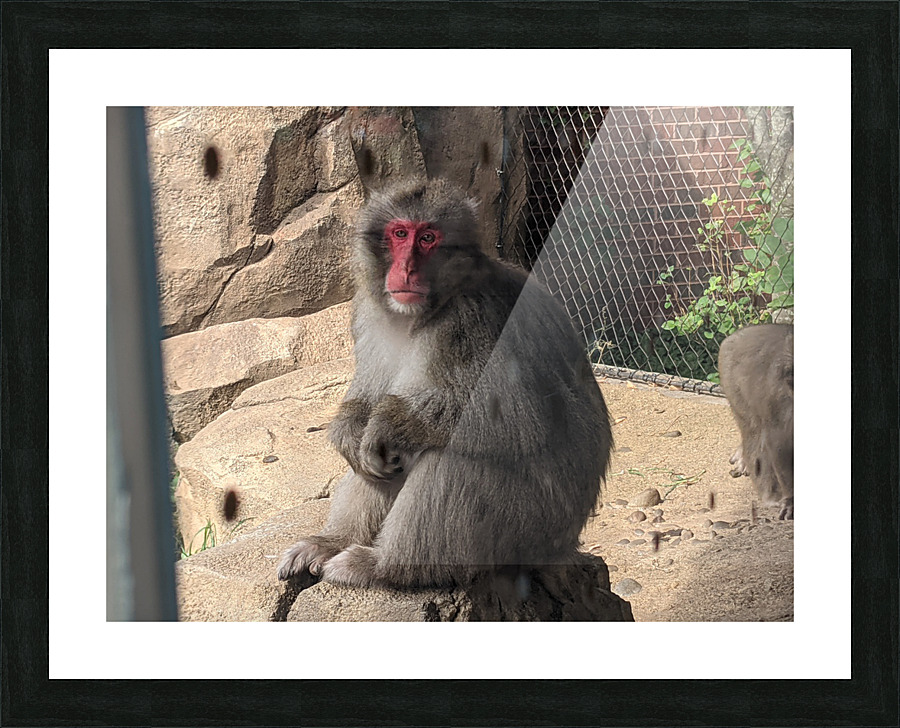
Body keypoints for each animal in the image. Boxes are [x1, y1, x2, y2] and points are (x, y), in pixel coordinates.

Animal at [277, 178, 613, 589]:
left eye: (428, 238)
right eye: (400, 234)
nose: (406, 269)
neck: (428, 310)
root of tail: (564, 544)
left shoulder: (474, 320)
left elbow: (518, 422)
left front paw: (387, 425)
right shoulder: (369, 313)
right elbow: (368, 401)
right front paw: (349, 430)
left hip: (528, 529)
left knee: (452, 455)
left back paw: (387, 566)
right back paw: (334, 543)